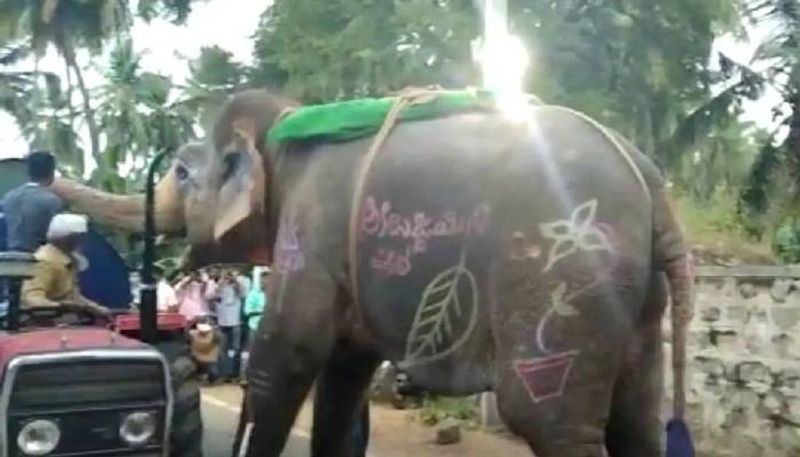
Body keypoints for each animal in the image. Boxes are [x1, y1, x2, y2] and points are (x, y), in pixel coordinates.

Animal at [54, 88, 692, 456]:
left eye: (184, 174)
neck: (287, 124)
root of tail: (652, 184)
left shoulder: (310, 233)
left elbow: (286, 357)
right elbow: (342, 376)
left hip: (565, 283)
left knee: (548, 418)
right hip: (637, 301)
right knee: (635, 423)